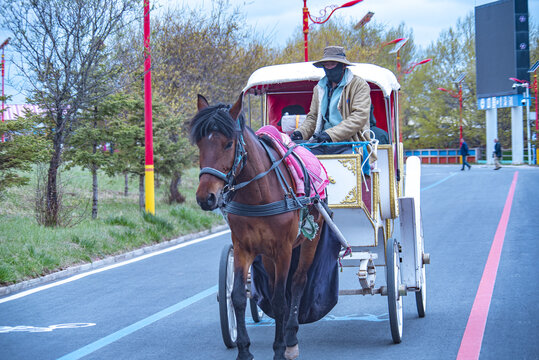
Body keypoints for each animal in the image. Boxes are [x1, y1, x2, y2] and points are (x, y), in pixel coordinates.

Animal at [190, 94, 324, 358]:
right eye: (199, 143)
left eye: (228, 144)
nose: (206, 198)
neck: (258, 194)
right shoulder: (244, 247)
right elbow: (238, 296)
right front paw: (244, 349)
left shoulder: (283, 249)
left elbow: (281, 299)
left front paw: (280, 348)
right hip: (268, 254)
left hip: (310, 240)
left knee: (298, 282)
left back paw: (291, 336)